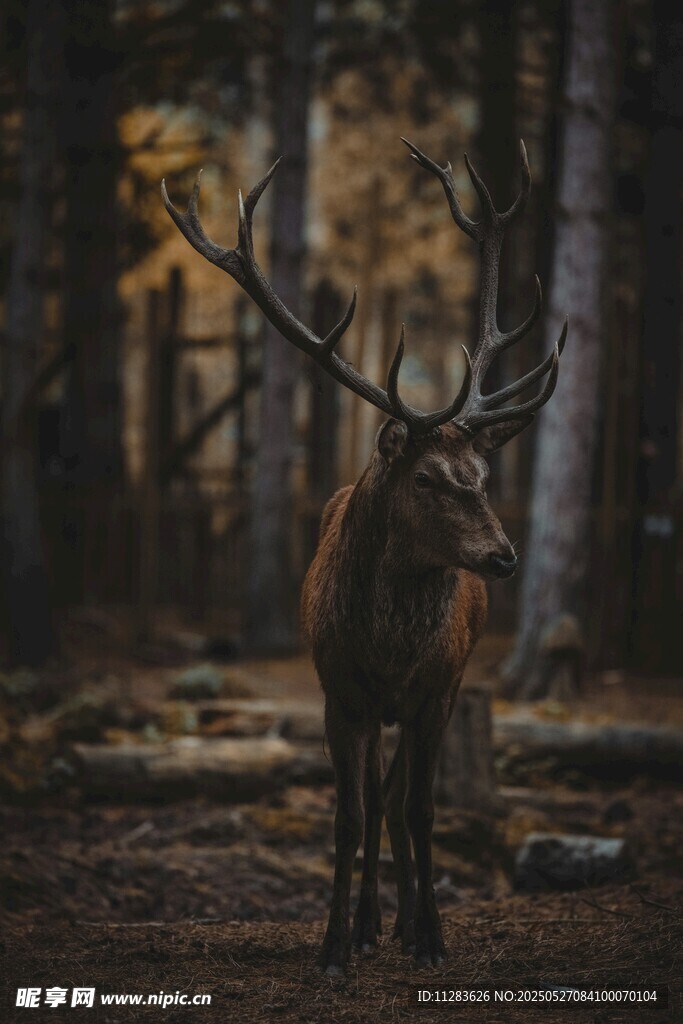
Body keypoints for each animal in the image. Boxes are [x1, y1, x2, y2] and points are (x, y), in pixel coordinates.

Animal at [162, 137, 566, 975]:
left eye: (482, 477)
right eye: (424, 477)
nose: (502, 557)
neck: (386, 651)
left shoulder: (437, 690)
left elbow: (420, 809)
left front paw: (432, 938)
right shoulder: (337, 690)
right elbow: (349, 815)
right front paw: (333, 945)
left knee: (399, 798)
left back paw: (403, 922)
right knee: (375, 798)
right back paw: (371, 923)